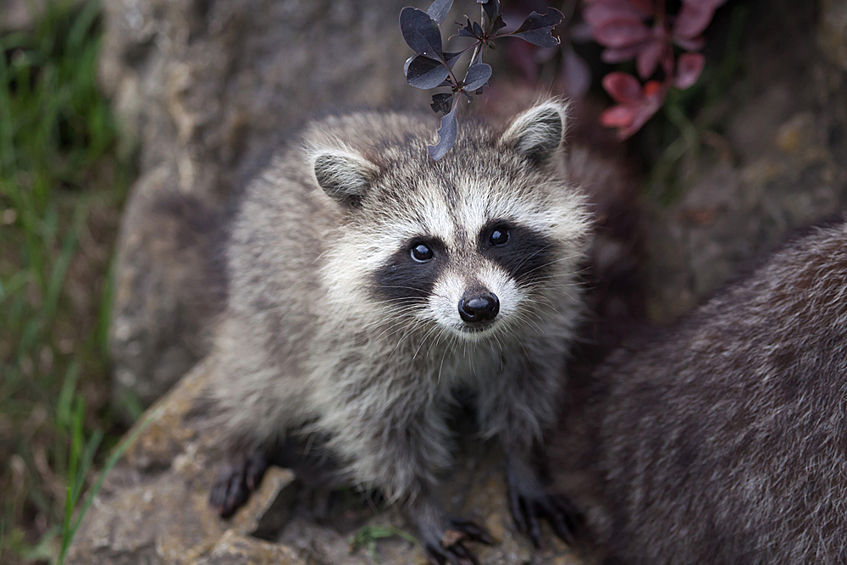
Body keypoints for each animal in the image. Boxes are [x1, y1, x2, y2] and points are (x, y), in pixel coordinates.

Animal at [204, 99, 588, 560]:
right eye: (421, 250)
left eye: (498, 234)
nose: (478, 307)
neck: (461, 337)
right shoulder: (354, 352)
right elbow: (383, 435)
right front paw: (420, 504)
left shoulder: (538, 327)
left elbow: (524, 390)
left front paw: (523, 459)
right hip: (266, 304)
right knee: (255, 373)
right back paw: (239, 431)